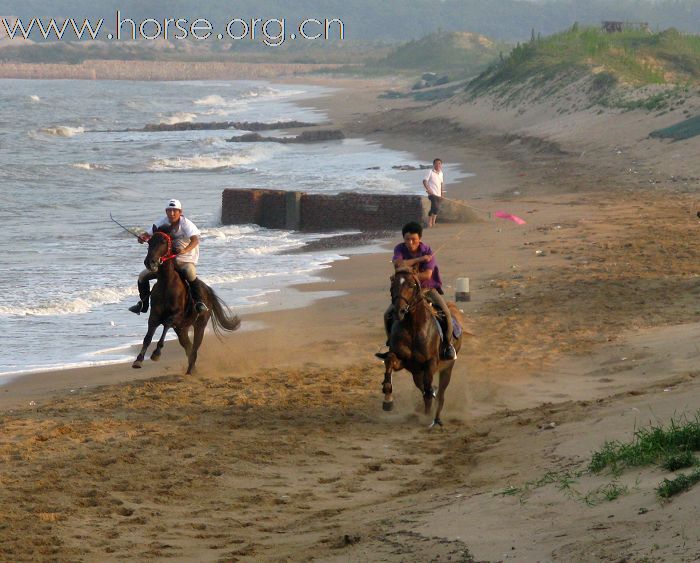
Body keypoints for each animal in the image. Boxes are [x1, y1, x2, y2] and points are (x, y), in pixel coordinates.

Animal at [133, 227, 242, 376]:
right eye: (149, 242)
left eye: (163, 242)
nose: (150, 262)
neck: (166, 283)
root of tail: (208, 291)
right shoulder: (154, 316)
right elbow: (147, 338)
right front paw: (138, 360)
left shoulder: (174, 316)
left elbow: (165, 327)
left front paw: (156, 353)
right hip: (182, 329)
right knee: (189, 348)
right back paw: (192, 369)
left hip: (199, 325)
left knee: (194, 348)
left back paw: (190, 370)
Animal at [378, 268, 464, 428]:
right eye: (393, 284)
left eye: (411, 285)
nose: (399, 311)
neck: (413, 328)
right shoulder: (404, 361)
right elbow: (390, 360)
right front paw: (387, 398)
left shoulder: (431, 363)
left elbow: (429, 389)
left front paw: (429, 416)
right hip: (416, 372)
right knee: (423, 388)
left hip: (447, 368)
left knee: (440, 393)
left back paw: (436, 419)